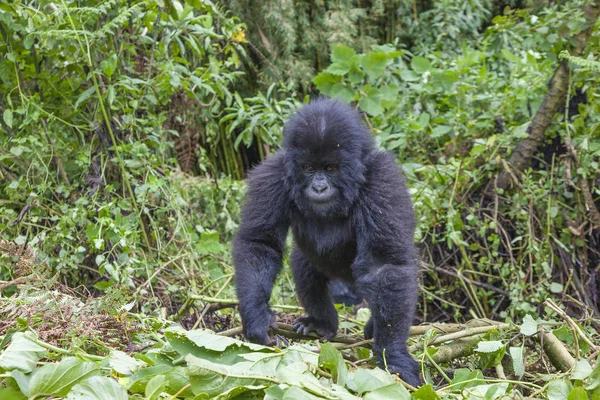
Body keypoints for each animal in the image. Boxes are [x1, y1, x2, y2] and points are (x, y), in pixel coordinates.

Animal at [232, 97, 420, 388]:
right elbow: (259, 242)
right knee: (304, 268)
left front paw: (392, 354)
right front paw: (257, 317)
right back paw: (322, 323)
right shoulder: (273, 175)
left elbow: (383, 264)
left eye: (330, 169)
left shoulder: (383, 182)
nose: (319, 187)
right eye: (309, 169)